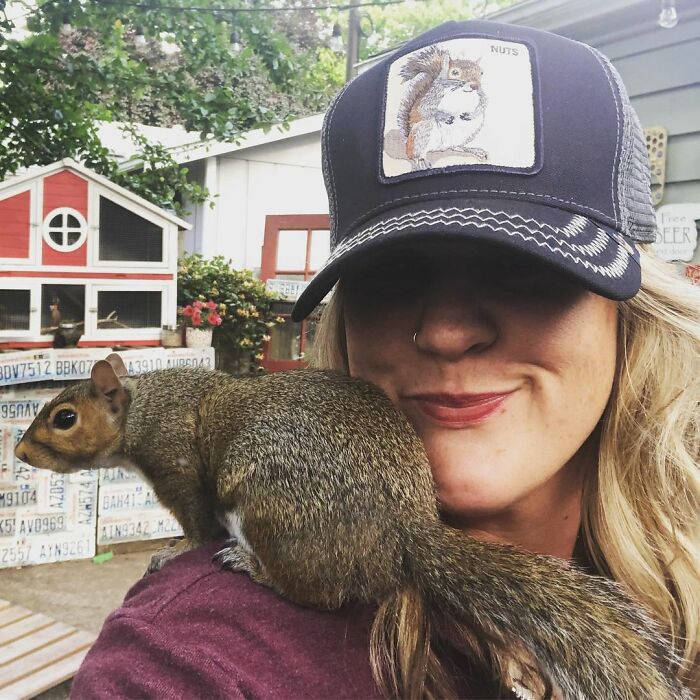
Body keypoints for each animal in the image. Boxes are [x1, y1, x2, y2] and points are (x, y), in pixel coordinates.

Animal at [15, 354, 692, 700]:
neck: (146, 408)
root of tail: (405, 529)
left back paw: (253, 567)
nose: (20, 454)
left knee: (316, 590)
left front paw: (173, 549)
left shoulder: (178, 465)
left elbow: (196, 522)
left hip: (272, 509)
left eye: (64, 416)